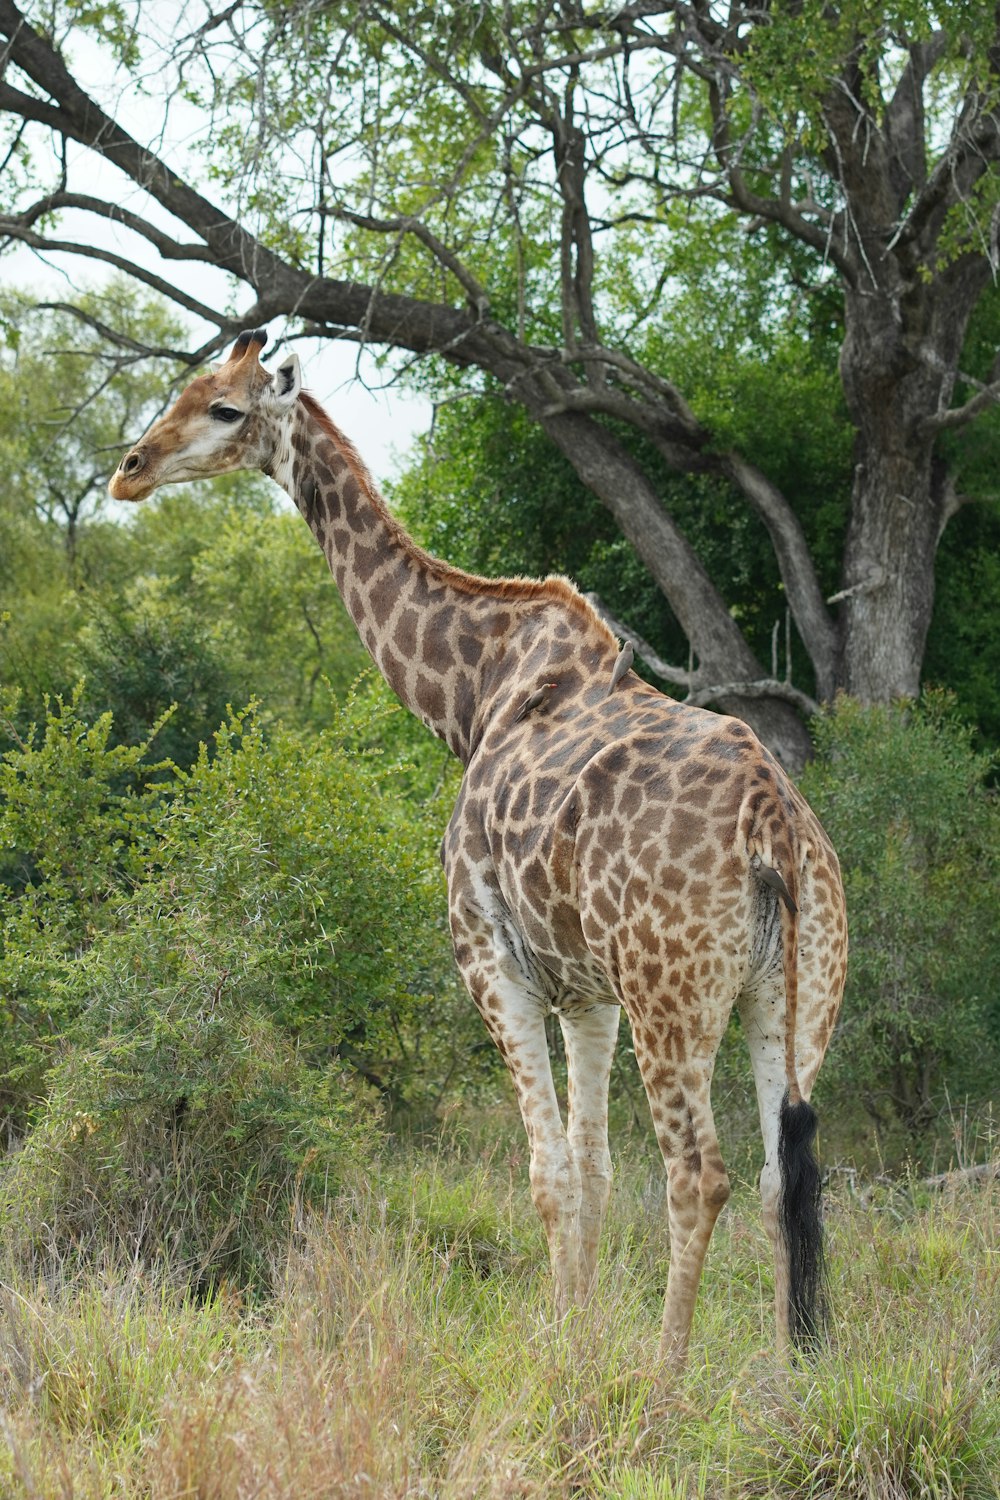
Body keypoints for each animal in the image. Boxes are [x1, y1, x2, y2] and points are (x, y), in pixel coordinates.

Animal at [111, 331, 845, 1374]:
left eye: (225, 407)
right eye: (185, 387)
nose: (129, 470)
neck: (470, 695)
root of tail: (772, 822)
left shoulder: (492, 962)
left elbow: (545, 1171)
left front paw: (563, 1349)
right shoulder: (587, 993)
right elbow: (591, 1168)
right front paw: (580, 1338)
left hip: (674, 994)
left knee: (701, 1174)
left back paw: (667, 1377)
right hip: (794, 996)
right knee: (789, 1176)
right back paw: (790, 1378)